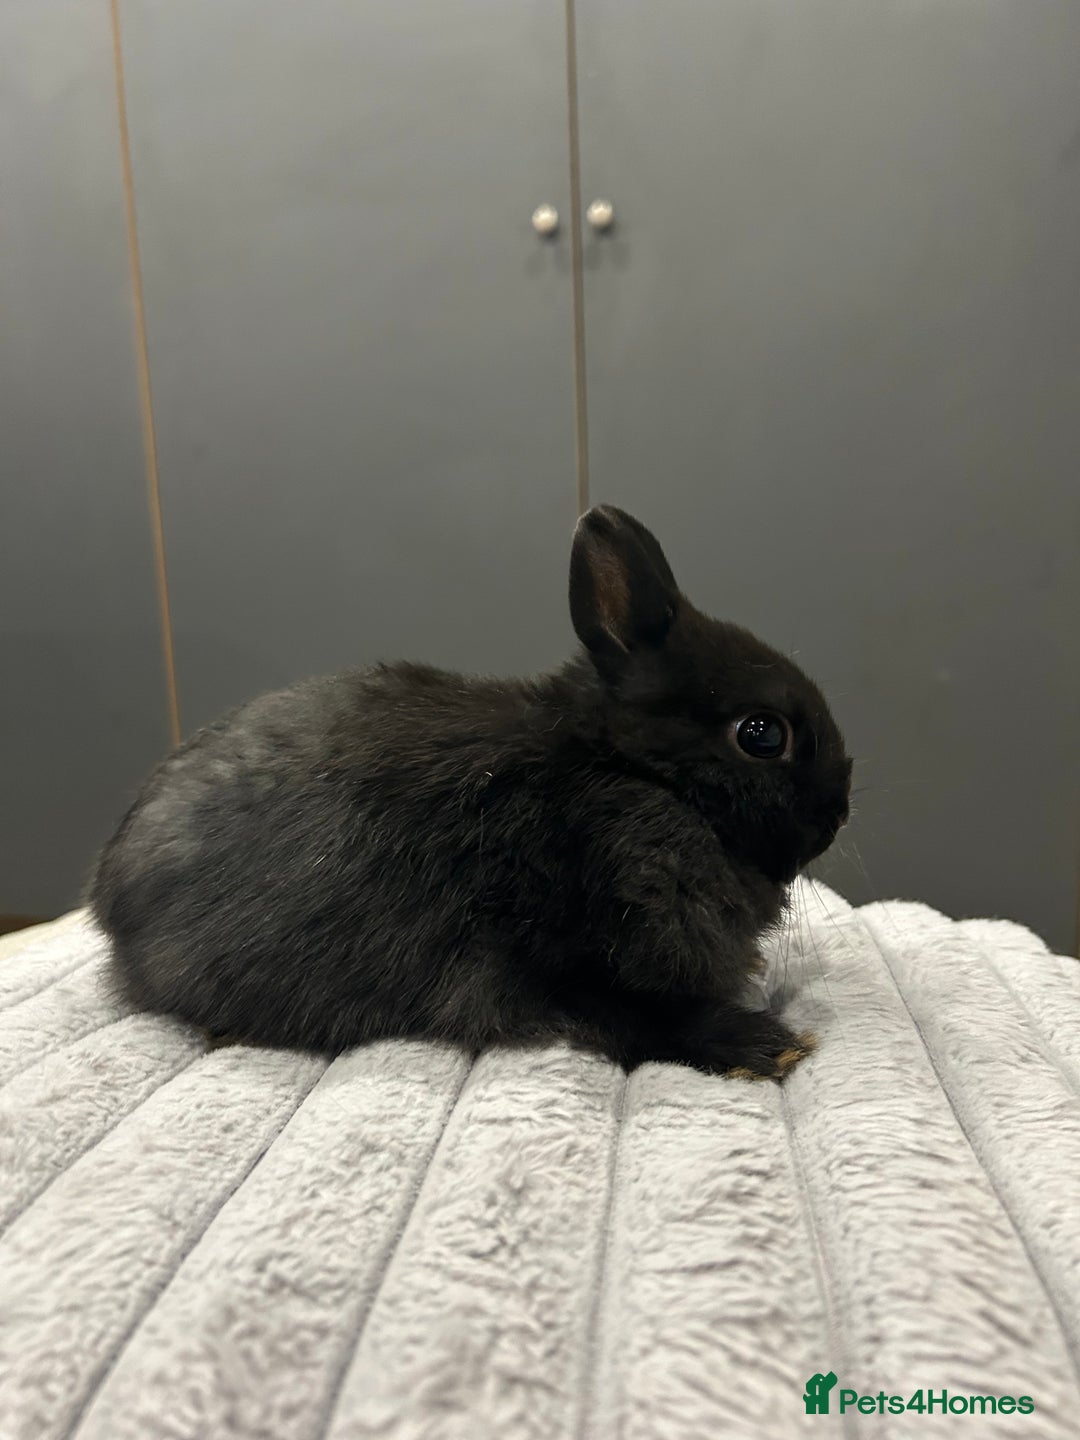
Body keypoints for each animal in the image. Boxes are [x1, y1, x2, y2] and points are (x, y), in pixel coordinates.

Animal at [89, 505, 851, 1079]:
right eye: (762, 734)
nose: (838, 815)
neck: (631, 776)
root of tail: (109, 903)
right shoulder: (564, 966)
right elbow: (641, 1018)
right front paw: (765, 1046)